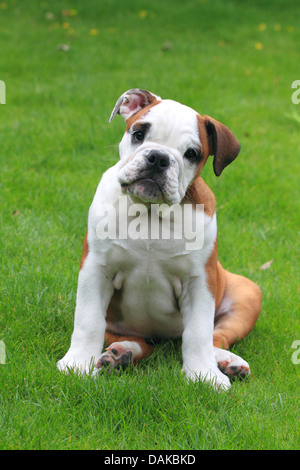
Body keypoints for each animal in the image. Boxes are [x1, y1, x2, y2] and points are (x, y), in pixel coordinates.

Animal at [57, 90, 262, 392]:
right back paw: (122, 353)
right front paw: (78, 364)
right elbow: (88, 321)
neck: (150, 212)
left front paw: (204, 375)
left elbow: (199, 332)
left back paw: (226, 361)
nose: (158, 157)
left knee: (216, 337)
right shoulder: (96, 269)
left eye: (192, 154)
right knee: (135, 341)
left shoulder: (200, 281)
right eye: (138, 134)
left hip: (247, 294)